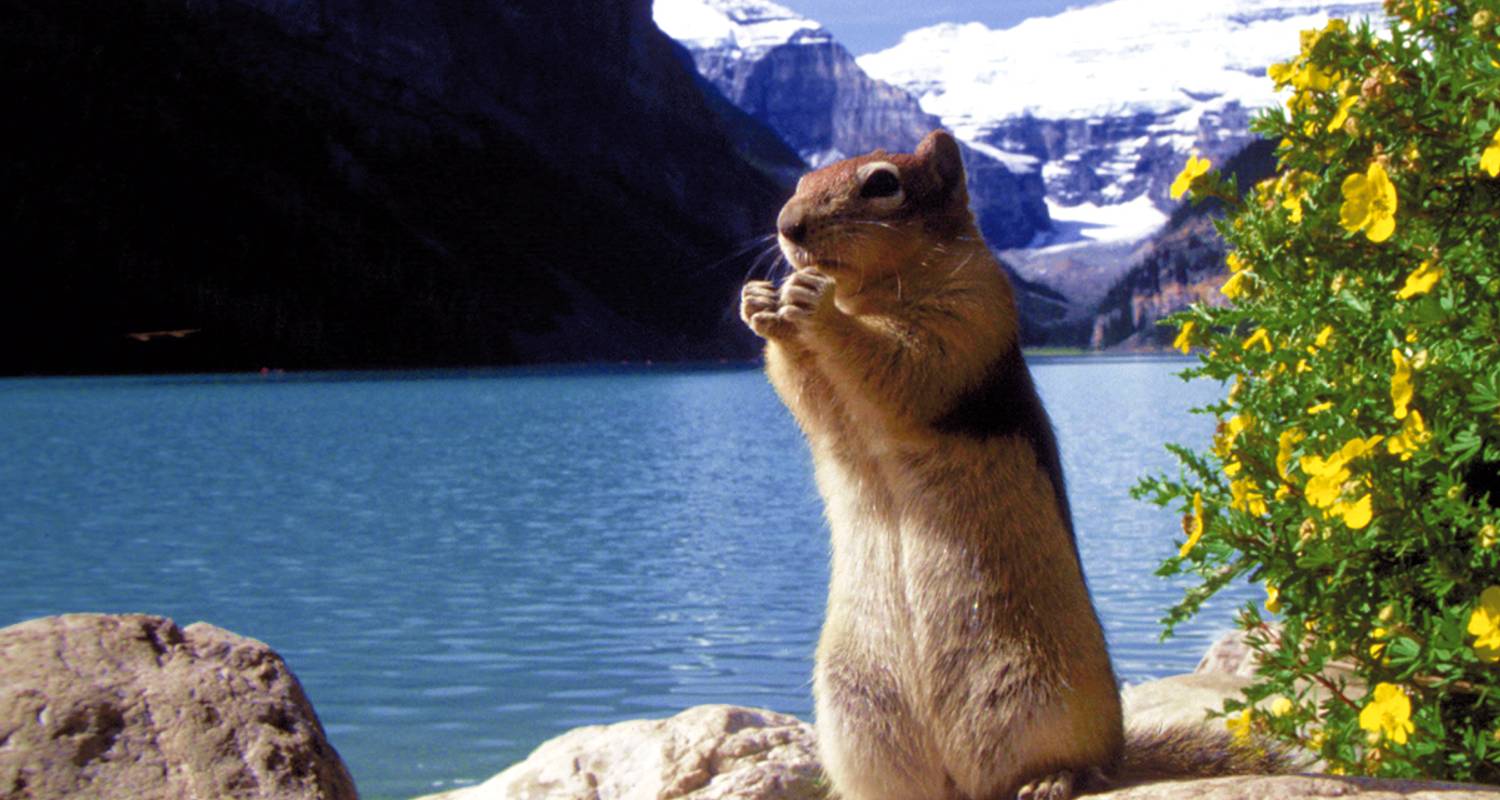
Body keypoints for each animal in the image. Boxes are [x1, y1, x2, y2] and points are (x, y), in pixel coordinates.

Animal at [738, 131, 1278, 798]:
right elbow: (811, 396)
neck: (872, 290)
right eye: (801, 181)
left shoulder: (972, 314)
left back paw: (1052, 779)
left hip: (1041, 695)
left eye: (883, 183)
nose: (787, 226)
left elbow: (906, 365)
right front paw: (762, 305)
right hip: (856, 715)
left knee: (1079, 764)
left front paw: (816, 309)